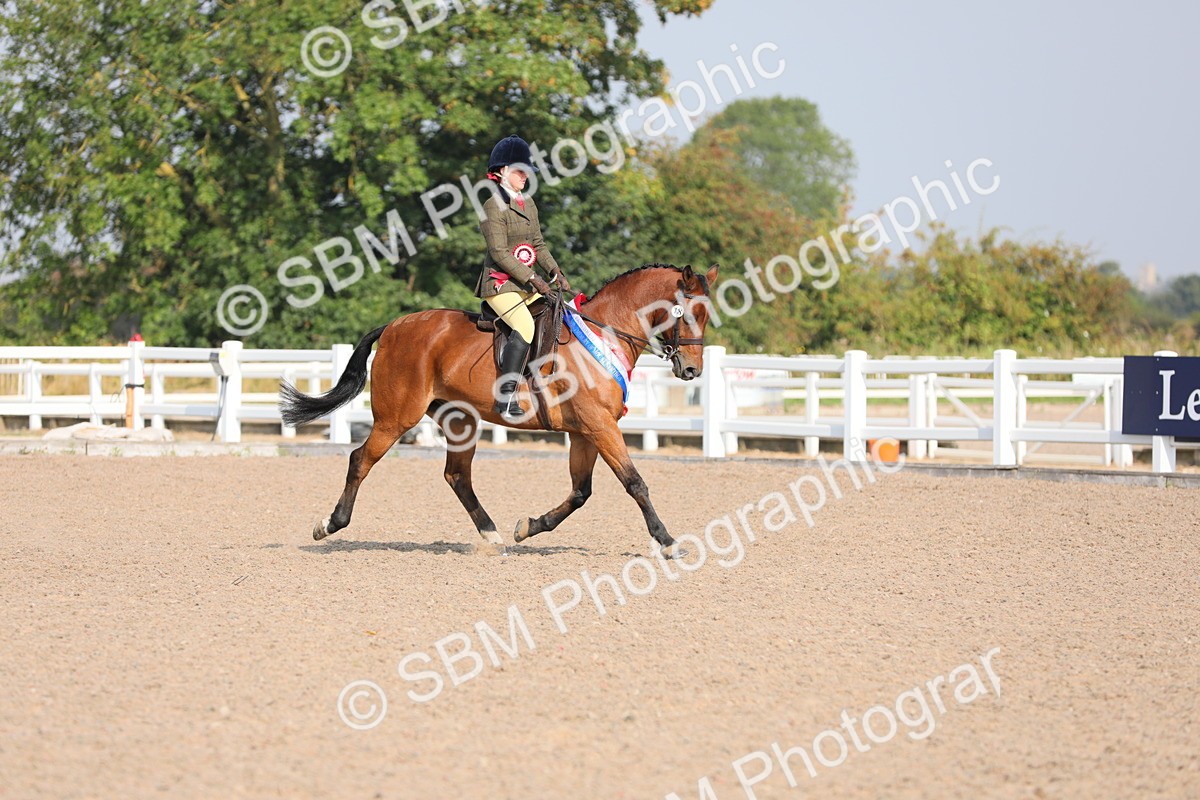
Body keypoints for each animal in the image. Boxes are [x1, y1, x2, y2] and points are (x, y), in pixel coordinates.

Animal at [279, 263, 719, 555]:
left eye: (705, 315)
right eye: (684, 313)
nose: (692, 370)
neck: (603, 334)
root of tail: (393, 326)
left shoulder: (586, 431)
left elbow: (580, 492)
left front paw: (528, 527)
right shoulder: (599, 426)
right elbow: (634, 483)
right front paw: (668, 542)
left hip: (460, 420)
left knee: (457, 475)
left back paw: (492, 535)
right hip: (396, 418)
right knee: (360, 460)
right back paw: (329, 525)